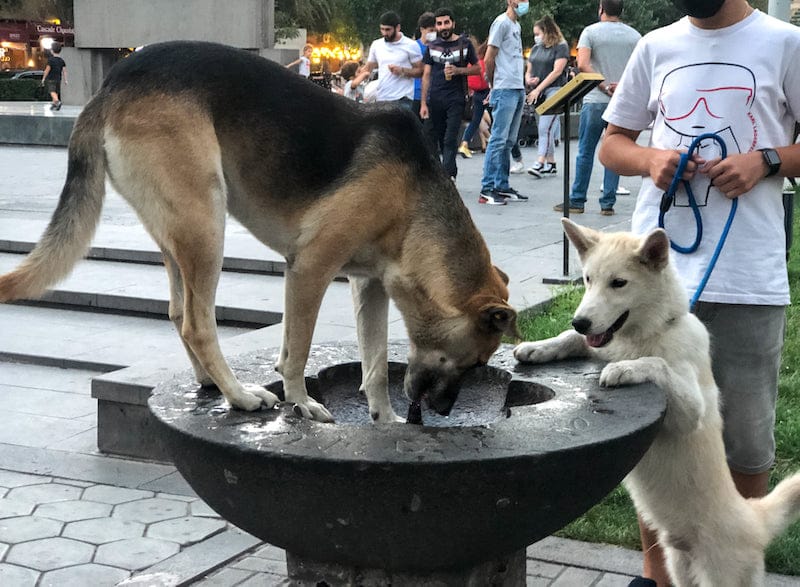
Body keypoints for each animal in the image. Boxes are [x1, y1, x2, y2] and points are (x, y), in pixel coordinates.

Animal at [0, 42, 520, 422]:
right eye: (476, 362)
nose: (443, 412)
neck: (414, 200)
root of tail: (111, 84)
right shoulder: (310, 269)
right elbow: (298, 349)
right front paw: (301, 401)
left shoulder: (369, 285)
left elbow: (373, 364)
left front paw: (385, 420)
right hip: (206, 224)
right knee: (197, 323)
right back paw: (240, 395)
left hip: (177, 233)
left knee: (179, 313)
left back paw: (210, 381)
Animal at [516, 220, 796, 587]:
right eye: (588, 279)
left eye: (618, 283)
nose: (580, 320)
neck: (647, 334)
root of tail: (753, 515)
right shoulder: (598, 343)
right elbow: (571, 339)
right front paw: (537, 347)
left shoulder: (691, 411)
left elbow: (657, 363)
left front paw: (623, 369)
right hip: (678, 564)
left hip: (721, 574)